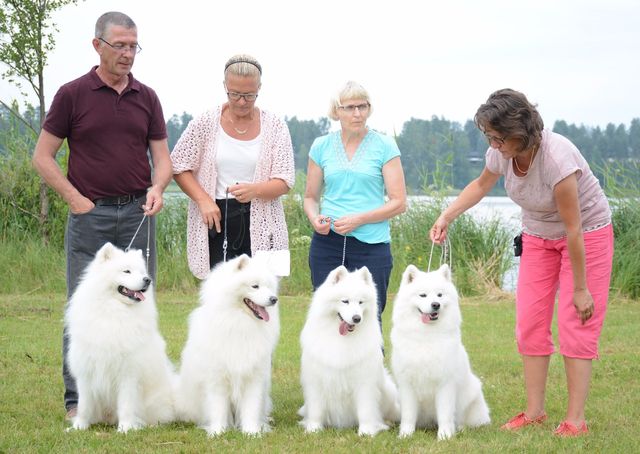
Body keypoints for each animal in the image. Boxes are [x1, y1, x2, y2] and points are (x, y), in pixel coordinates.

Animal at [65, 243, 175, 430]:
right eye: (127, 271)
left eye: (141, 272)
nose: (147, 280)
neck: (115, 312)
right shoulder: (86, 370)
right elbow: (84, 405)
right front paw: (79, 426)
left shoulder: (128, 373)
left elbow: (126, 404)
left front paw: (125, 428)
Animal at [179, 255, 282, 436]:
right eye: (255, 286)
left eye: (269, 287)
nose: (274, 299)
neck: (239, 322)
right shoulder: (217, 378)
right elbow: (218, 408)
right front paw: (217, 432)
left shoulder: (253, 377)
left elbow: (251, 408)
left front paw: (252, 432)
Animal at [298, 266, 398, 436]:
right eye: (345, 301)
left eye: (360, 302)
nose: (357, 318)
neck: (341, 337)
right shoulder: (316, 380)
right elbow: (316, 409)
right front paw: (314, 429)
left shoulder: (364, 382)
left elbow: (365, 410)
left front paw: (366, 431)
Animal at [390, 262, 490, 440]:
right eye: (423, 295)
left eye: (439, 295)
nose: (436, 304)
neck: (426, 336)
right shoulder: (407, 385)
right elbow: (408, 415)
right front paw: (405, 435)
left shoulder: (445, 384)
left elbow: (445, 413)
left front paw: (445, 436)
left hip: (472, 395)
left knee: (467, 420)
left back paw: (461, 428)